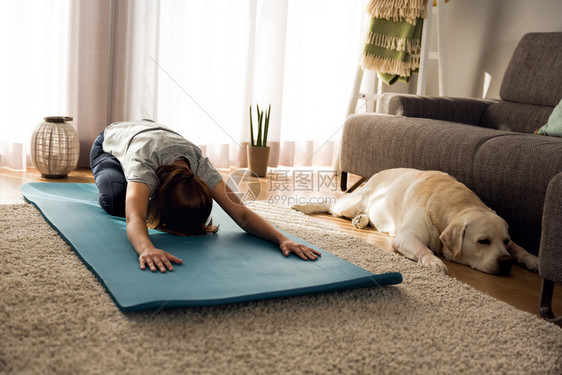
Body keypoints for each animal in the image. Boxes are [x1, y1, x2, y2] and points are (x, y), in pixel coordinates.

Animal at [290, 169, 536, 274]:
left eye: (505, 241)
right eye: (483, 241)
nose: (506, 262)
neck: (455, 203)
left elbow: (520, 248)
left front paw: (531, 259)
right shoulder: (407, 236)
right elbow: (422, 248)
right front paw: (434, 261)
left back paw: (362, 220)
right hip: (350, 203)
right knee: (331, 203)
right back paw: (302, 206)